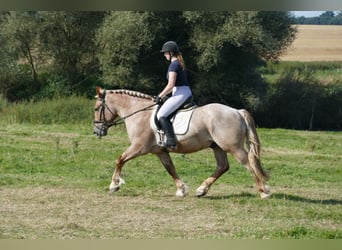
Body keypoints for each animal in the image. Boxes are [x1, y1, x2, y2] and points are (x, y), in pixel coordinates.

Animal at [93, 87, 270, 198]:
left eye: (96, 109)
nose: (97, 132)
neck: (139, 113)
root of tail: (237, 111)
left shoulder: (138, 147)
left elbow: (120, 159)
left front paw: (114, 185)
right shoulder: (160, 151)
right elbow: (170, 168)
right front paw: (181, 189)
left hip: (233, 147)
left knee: (249, 164)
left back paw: (264, 191)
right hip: (217, 147)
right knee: (223, 166)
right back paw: (202, 190)